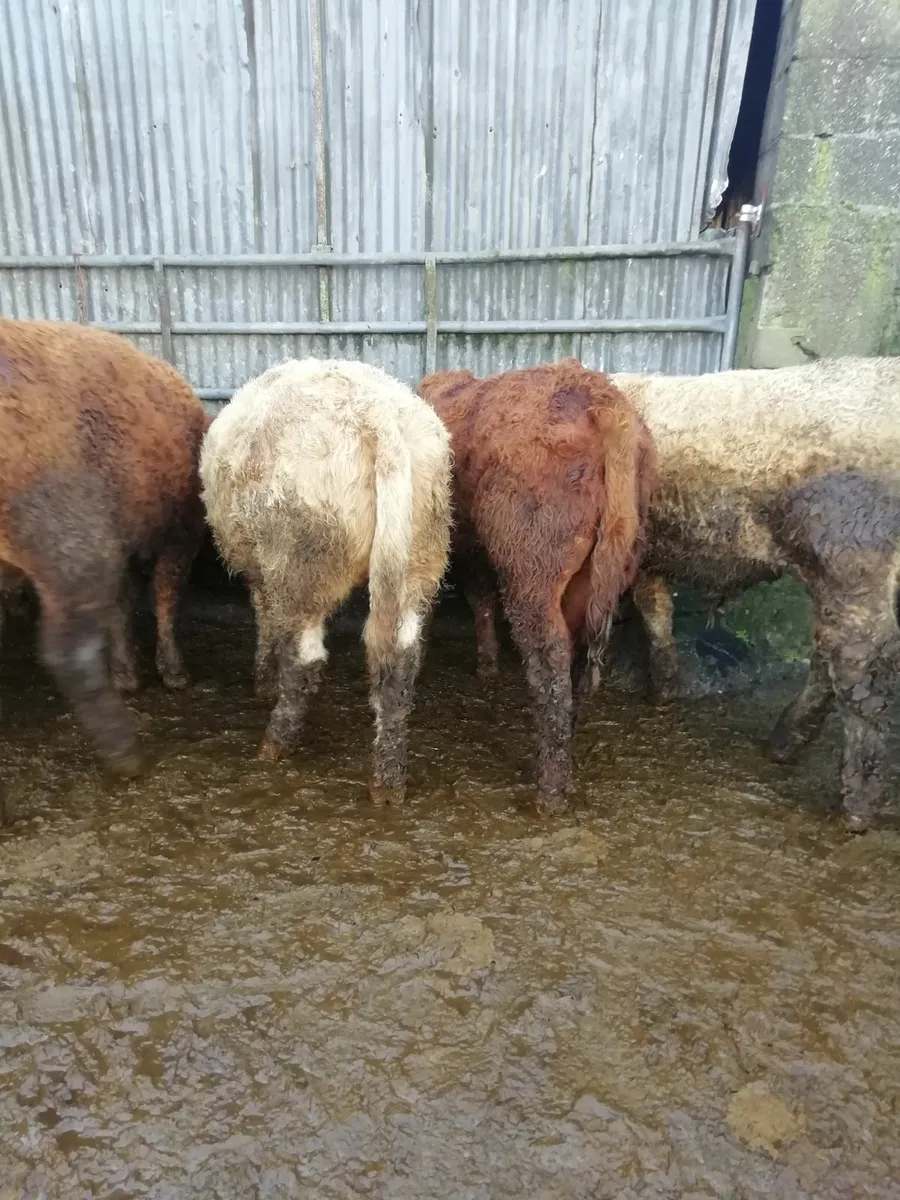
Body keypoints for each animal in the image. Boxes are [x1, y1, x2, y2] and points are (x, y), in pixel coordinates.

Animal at [0, 317, 209, 776]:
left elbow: (124, 603)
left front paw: (131, 672)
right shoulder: (178, 534)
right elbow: (163, 597)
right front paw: (173, 674)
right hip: (70, 535)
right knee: (70, 652)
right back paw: (125, 752)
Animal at [199, 358, 452, 805]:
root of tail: (374, 408)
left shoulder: (260, 572)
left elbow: (264, 619)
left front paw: (262, 679)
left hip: (299, 564)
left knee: (304, 658)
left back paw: (275, 743)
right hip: (417, 560)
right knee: (399, 662)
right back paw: (389, 782)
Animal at [418, 359, 656, 813]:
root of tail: (601, 401)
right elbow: (481, 600)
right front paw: (488, 665)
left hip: (533, 575)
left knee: (550, 655)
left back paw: (550, 787)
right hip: (597, 572)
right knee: (577, 655)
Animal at [611, 357, 900, 831]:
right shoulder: (647, 554)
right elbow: (656, 612)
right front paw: (664, 692)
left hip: (851, 559)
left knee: (861, 671)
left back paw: (855, 809)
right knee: (831, 656)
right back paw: (784, 745)